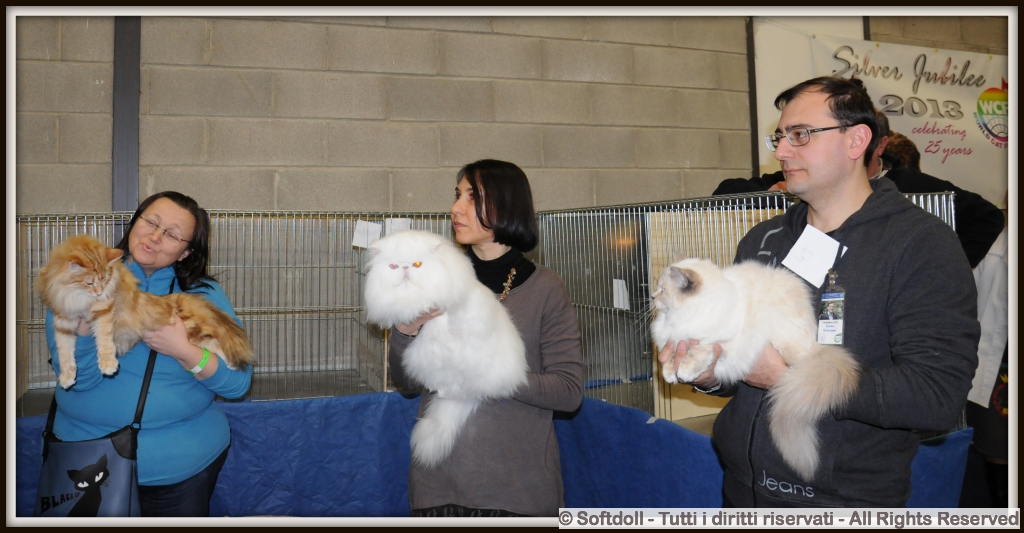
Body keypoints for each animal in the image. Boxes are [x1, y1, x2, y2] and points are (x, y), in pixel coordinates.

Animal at [36, 234, 253, 390]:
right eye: (89, 283)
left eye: (105, 280)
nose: (99, 292)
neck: (72, 295)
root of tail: (181, 299)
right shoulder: (63, 321)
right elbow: (65, 353)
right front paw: (66, 377)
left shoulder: (103, 310)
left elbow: (104, 342)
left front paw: (108, 365)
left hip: (193, 333)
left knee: (218, 345)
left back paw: (232, 365)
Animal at [651, 257, 860, 482]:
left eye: (662, 289)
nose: (652, 296)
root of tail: (815, 344)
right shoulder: (676, 339)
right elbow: (673, 354)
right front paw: (670, 373)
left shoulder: (720, 342)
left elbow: (699, 351)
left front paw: (684, 371)